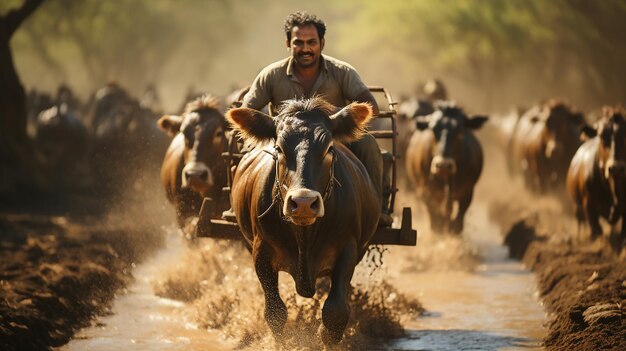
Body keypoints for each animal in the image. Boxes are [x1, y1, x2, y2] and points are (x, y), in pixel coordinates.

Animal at [227, 97, 378, 346]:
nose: (304, 202)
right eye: (279, 148)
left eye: (329, 148)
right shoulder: (261, 251)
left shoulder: (347, 249)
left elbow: (335, 312)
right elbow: (275, 312)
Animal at [404, 101, 488, 234]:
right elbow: (437, 222)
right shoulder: (426, 190)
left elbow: (457, 224)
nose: (443, 165)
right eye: (433, 129)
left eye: (460, 130)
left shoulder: (468, 191)